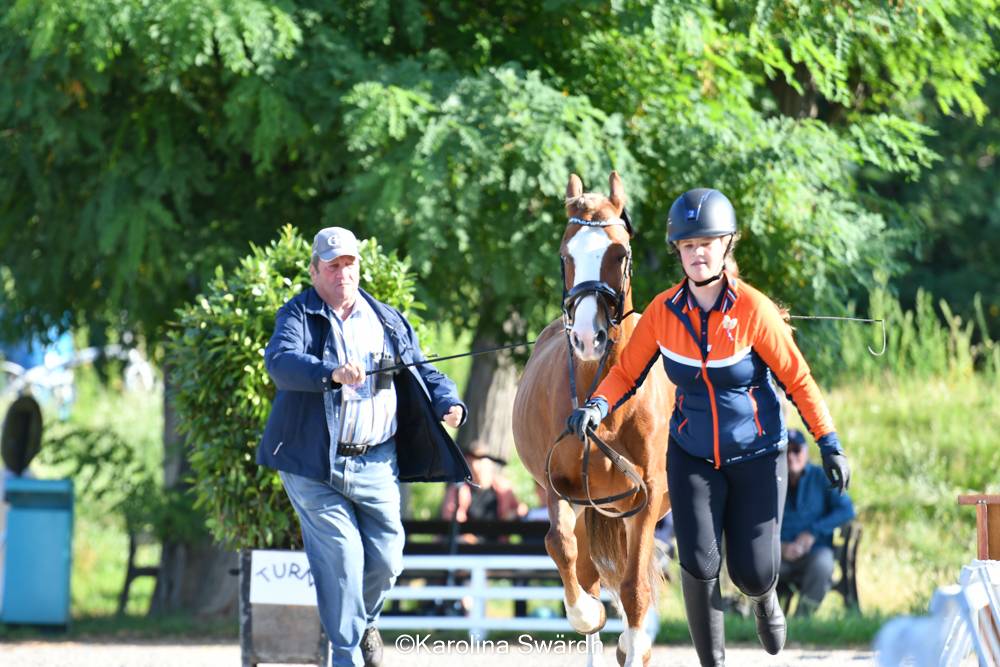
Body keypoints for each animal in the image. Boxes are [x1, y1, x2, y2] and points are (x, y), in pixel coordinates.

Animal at [512, 172, 674, 667]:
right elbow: (561, 551)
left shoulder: (647, 496)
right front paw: (587, 612)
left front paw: (634, 644)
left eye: (618, 254)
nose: (587, 337)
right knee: (587, 569)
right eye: (566, 256)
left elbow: (636, 590)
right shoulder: (559, 490)